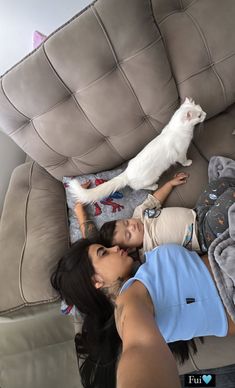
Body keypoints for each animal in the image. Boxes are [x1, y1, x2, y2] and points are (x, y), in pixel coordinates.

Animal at [68, 98, 206, 203]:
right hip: (151, 178)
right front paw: (188, 162)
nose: (205, 114)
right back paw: (154, 186)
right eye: (199, 116)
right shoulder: (181, 153)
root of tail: (127, 173)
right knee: (141, 187)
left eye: (201, 109)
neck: (177, 129)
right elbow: (183, 160)